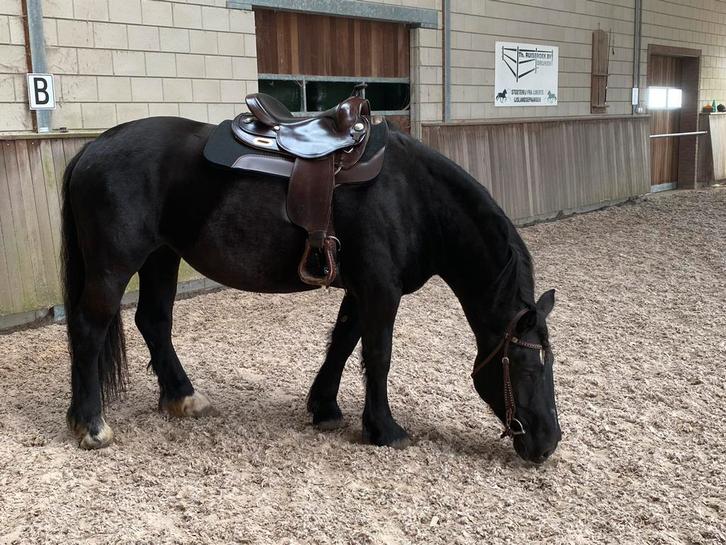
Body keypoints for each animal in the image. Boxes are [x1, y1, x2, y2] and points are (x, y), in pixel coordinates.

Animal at [61, 116, 562, 463]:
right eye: (526, 365)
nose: (549, 443)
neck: (412, 197)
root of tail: (94, 146)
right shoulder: (381, 289)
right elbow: (378, 355)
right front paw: (384, 429)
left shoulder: (362, 289)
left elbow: (342, 343)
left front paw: (324, 407)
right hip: (114, 264)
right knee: (88, 329)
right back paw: (91, 425)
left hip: (162, 257)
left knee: (154, 321)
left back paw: (182, 397)